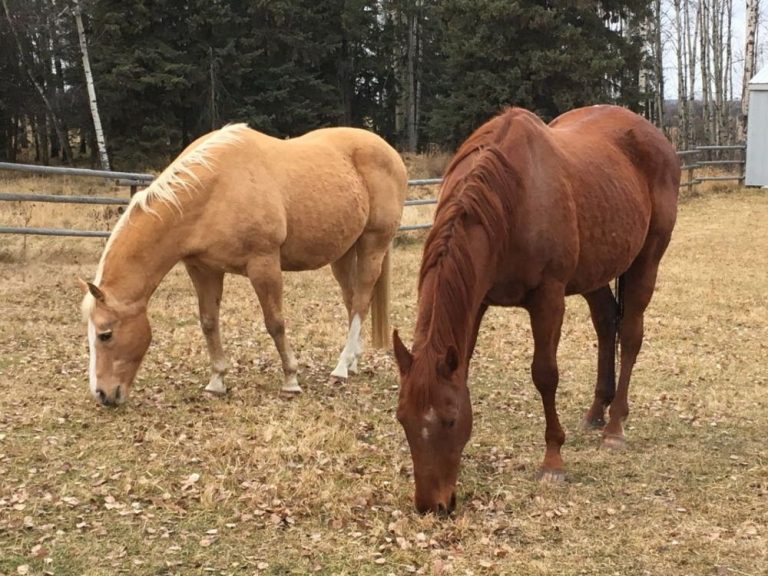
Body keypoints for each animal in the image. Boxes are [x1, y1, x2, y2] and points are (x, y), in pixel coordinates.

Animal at [79, 124, 408, 408]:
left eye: (105, 334)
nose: (103, 394)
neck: (212, 190)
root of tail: (390, 153)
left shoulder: (264, 264)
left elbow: (275, 322)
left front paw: (291, 380)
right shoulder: (204, 270)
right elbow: (209, 323)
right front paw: (216, 382)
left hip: (373, 244)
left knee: (361, 299)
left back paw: (340, 367)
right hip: (343, 253)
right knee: (352, 301)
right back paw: (352, 361)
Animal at [392, 106, 680, 516]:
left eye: (450, 420)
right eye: (402, 419)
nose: (432, 506)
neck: (513, 198)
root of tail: (654, 135)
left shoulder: (548, 297)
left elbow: (545, 375)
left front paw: (553, 461)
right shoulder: (477, 301)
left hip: (647, 260)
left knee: (630, 335)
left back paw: (614, 428)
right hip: (594, 272)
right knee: (606, 323)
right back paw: (596, 411)